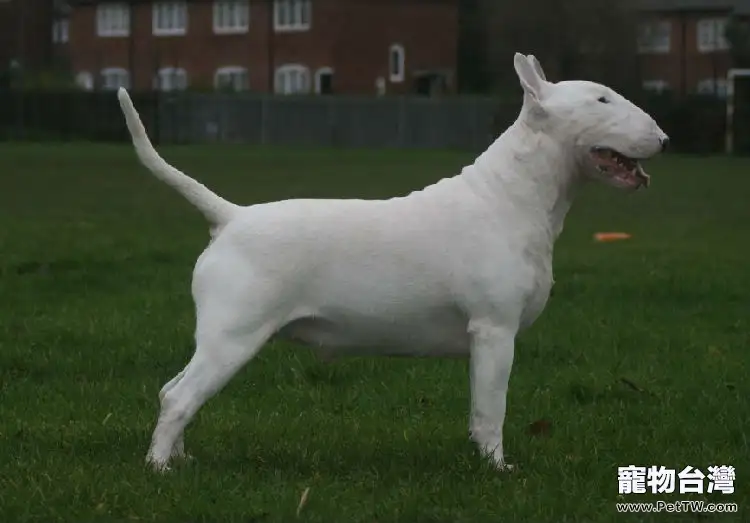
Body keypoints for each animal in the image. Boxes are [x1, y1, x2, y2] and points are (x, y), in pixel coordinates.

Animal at [116, 54, 668, 474]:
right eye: (601, 99)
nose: (664, 139)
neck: (512, 197)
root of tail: (230, 217)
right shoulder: (493, 330)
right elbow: (492, 408)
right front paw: (497, 469)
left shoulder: (483, 338)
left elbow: (478, 406)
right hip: (234, 335)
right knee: (179, 396)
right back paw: (159, 469)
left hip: (222, 337)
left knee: (174, 390)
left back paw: (180, 459)